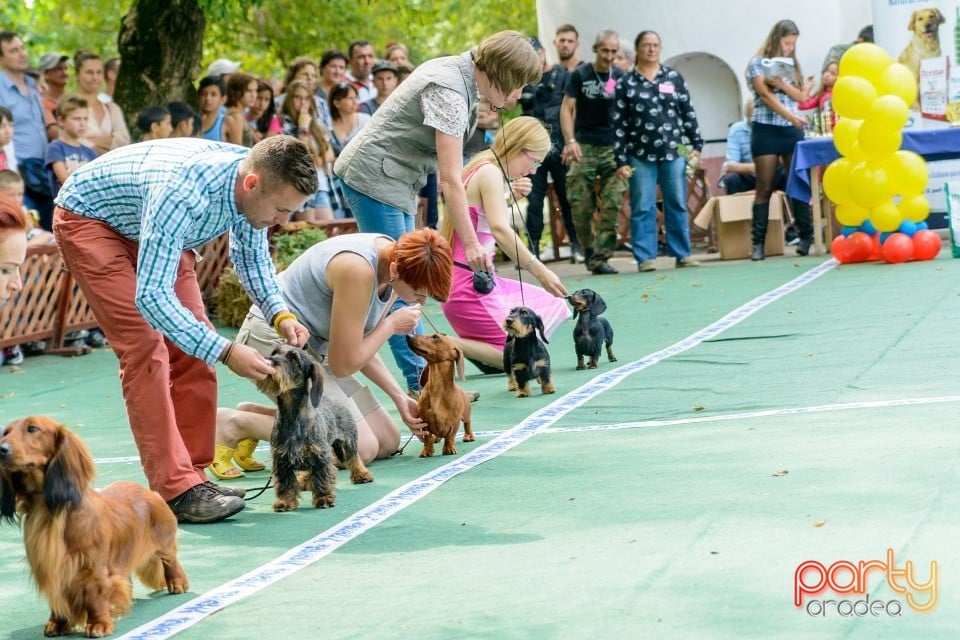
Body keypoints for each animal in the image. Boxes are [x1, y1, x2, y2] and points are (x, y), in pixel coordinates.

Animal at [0, 416, 188, 638]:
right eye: (6, 432)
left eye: (32, 429)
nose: (1, 449)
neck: (51, 513)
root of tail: (151, 492)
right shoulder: (52, 566)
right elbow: (58, 599)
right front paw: (57, 622)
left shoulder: (92, 567)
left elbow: (94, 597)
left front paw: (99, 624)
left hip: (164, 541)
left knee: (171, 561)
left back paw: (177, 583)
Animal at [255, 345, 373, 512]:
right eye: (274, 352)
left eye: (293, 359)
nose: (268, 361)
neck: (292, 417)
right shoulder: (281, 460)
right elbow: (285, 484)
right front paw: (285, 501)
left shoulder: (320, 456)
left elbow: (322, 478)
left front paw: (323, 498)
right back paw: (304, 481)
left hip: (349, 442)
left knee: (353, 459)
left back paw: (361, 475)